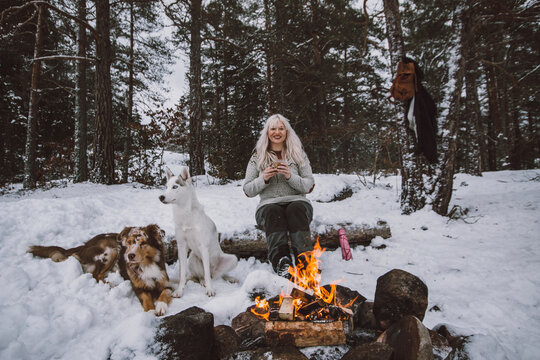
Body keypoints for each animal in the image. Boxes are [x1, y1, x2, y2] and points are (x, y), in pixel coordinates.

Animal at [26, 225, 173, 316]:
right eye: (130, 242)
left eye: (143, 243)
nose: (129, 256)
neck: (146, 264)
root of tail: (85, 245)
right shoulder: (138, 287)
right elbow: (146, 300)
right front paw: (151, 311)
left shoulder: (166, 283)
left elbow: (164, 293)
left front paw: (160, 306)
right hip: (112, 250)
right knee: (96, 275)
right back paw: (111, 285)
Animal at [158, 165, 238, 296]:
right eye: (166, 187)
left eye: (175, 186)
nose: (161, 197)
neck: (185, 216)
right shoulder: (181, 246)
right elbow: (182, 274)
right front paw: (179, 291)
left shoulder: (203, 247)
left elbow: (207, 274)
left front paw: (210, 290)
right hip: (192, 257)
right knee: (200, 276)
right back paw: (202, 281)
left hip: (233, 259)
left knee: (214, 275)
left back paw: (228, 279)